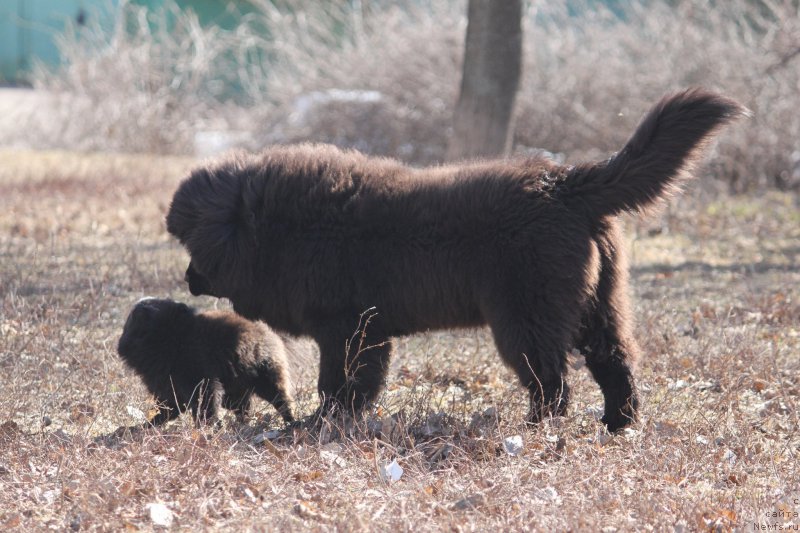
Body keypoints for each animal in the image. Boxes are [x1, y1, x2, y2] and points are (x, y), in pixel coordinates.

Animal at [166, 87, 748, 428]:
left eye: (193, 246)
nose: (188, 280)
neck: (279, 227)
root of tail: (566, 183)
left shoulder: (350, 328)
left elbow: (342, 381)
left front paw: (323, 424)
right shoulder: (363, 330)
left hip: (528, 315)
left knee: (551, 379)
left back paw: (538, 429)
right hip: (600, 302)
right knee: (615, 360)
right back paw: (617, 424)